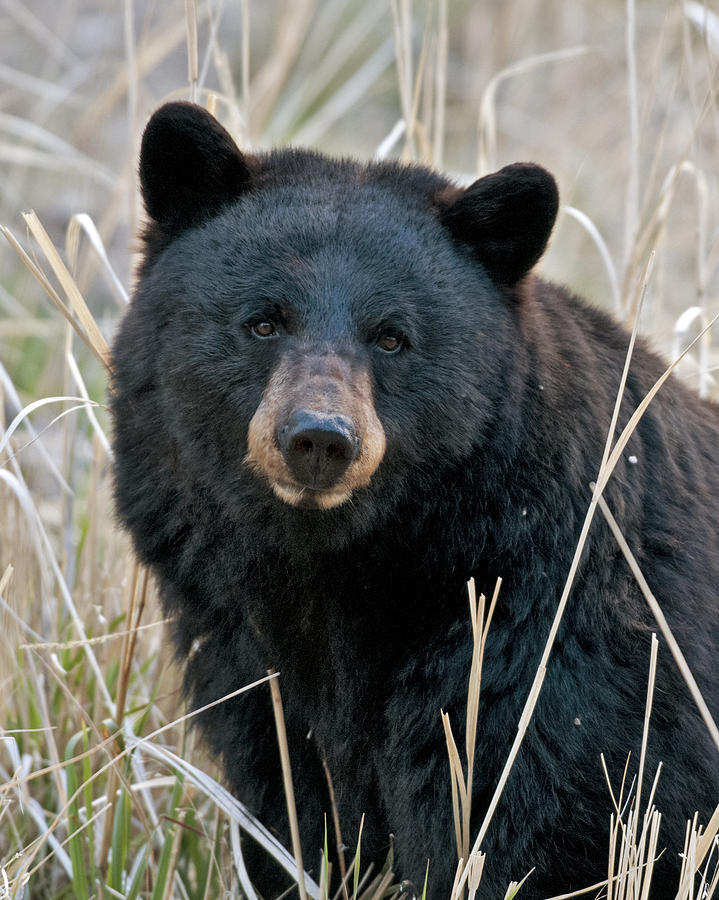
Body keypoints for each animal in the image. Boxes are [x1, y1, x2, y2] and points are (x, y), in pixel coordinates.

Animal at [108, 102, 719, 896]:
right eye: (263, 320)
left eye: (392, 337)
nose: (318, 438)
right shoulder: (248, 670)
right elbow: (291, 810)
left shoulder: (551, 655)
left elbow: (533, 830)